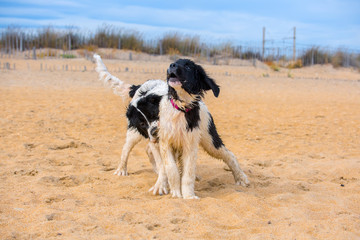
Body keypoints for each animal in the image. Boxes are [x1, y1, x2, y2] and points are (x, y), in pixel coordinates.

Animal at [94, 54, 249, 199]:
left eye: (188, 66)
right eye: (142, 123)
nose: (172, 65)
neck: (180, 106)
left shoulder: (189, 144)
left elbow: (187, 172)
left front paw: (188, 196)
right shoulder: (163, 142)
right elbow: (169, 168)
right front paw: (172, 191)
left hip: (209, 139)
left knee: (228, 155)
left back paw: (241, 177)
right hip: (136, 134)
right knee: (127, 149)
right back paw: (122, 169)